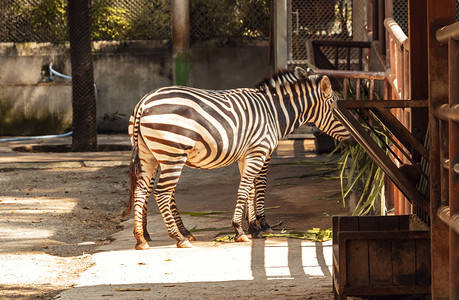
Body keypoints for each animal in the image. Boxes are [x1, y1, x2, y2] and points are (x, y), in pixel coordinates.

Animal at [124, 68, 354, 251]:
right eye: (337, 108)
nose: (353, 140)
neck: (273, 113)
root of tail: (143, 102)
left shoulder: (248, 155)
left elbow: (249, 189)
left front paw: (253, 227)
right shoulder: (261, 151)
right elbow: (252, 188)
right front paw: (247, 228)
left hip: (149, 156)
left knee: (142, 191)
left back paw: (141, 237)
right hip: (172, 153)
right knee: (162, 193)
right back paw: (179, 237)